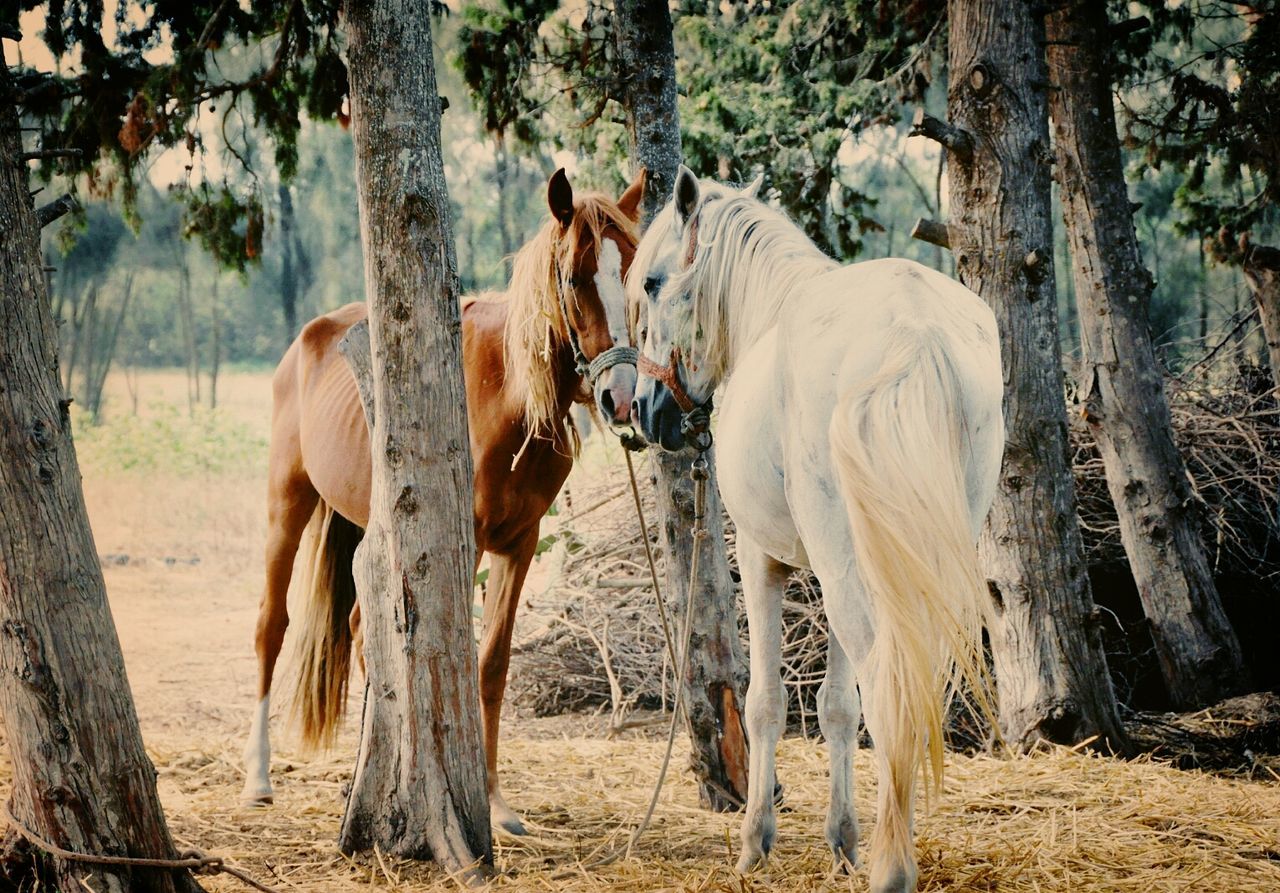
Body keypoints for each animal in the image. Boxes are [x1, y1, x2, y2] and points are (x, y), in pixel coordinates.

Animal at [240, 168, 645, 834]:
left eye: (633, 274)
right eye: (572, 277)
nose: (621, 396)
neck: (505, 394)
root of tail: (309, 338)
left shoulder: (519, 544)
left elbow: (491, 665)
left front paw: (496, 801)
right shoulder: (463, 543)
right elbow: (447, 658)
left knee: (362, 630)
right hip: (284, 506)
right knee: (272, 627)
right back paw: (259, 777)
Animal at [629, 166, 1008, 890]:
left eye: (653, 283)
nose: (641, 409)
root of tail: (915, 329)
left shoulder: (763, 560)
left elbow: (764, 703)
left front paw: (755, 842)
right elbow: (836, 707)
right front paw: (841, 840)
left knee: (889, 692)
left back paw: (893, 866)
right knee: (903, 689)